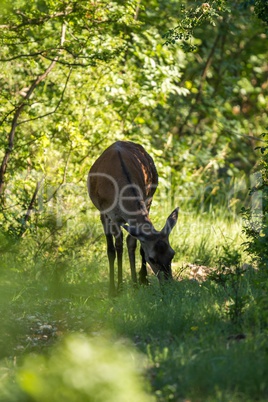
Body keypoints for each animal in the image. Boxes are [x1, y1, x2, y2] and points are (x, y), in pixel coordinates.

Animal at [87, 141, 178, 296]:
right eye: (152, 259)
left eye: (172, 254)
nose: (168, 285)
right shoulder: (108, 213)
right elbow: (115, 248)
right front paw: (115, 289)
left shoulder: (146, 200)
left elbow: (133, 243)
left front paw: (137, 282)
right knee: (114, 246)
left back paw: (141, 279)